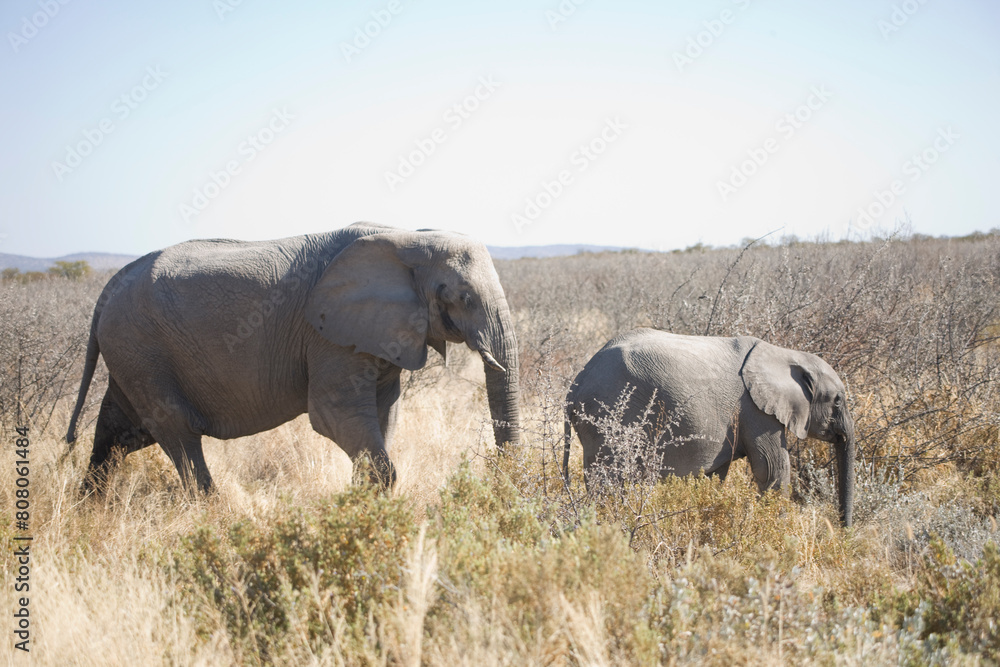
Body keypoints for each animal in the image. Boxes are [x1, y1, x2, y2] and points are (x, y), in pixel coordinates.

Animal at [66, 222, 521, 493]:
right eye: (463, 298)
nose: (500, 481)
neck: (407, 236)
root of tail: (108, 288)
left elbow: (385, 413)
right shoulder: (329, 337)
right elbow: (331, 414)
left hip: (131, 353)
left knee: (118, 433)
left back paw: (89, 511)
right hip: (141, 348)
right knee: (177, 433)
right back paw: (213, 513)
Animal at [563, 328, 856, 526]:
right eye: (838, 401)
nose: (844, 530)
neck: (784, 355)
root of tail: (577, 382)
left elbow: (715, 476)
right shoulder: (757, 412)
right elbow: (772, 469)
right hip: (607, 414)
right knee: (607, 480)